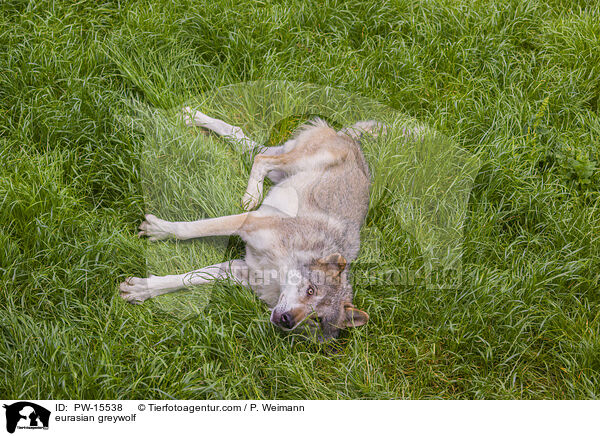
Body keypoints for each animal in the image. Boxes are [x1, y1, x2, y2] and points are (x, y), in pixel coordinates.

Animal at [119, 108, 386, 340]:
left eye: (316, 319)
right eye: (311, 290)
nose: (288, 321)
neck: (279, 270)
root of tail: (348, 137)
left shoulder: (237, 269)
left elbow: (187, 278)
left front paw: (142, 290)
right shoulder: (246, 223)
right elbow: (188, 229)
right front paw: (158, 230)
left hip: (278, 168)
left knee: (243, 139)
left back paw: (194, 118)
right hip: (288, 164)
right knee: (261, 158)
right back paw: (251, 194)